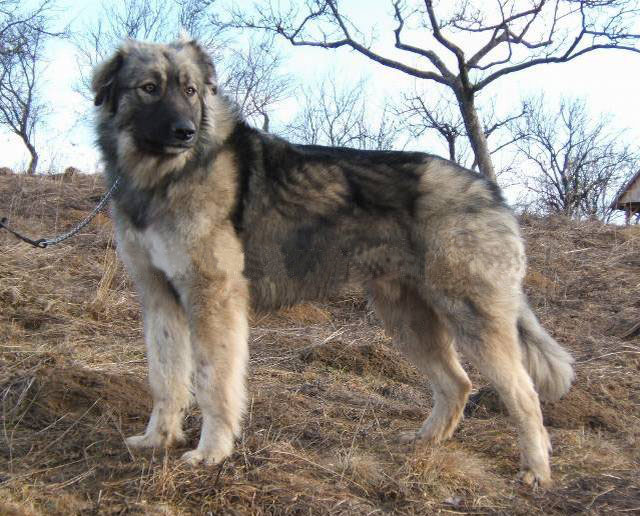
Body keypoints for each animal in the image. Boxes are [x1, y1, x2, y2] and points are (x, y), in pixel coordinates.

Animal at [91, 38, 576, 486]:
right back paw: (425, 442)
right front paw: (157, 439)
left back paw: (535, 470)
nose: (185, 131)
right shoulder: (160, 298)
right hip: (407, 319)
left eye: (190, 90)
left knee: (524, 395)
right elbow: (166, 379)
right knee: (457, 383)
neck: (166, 176)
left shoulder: (212, 298)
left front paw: (212, 451)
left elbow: (214, 383)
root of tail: (491, 192)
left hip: (471, 318)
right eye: (149, 88)